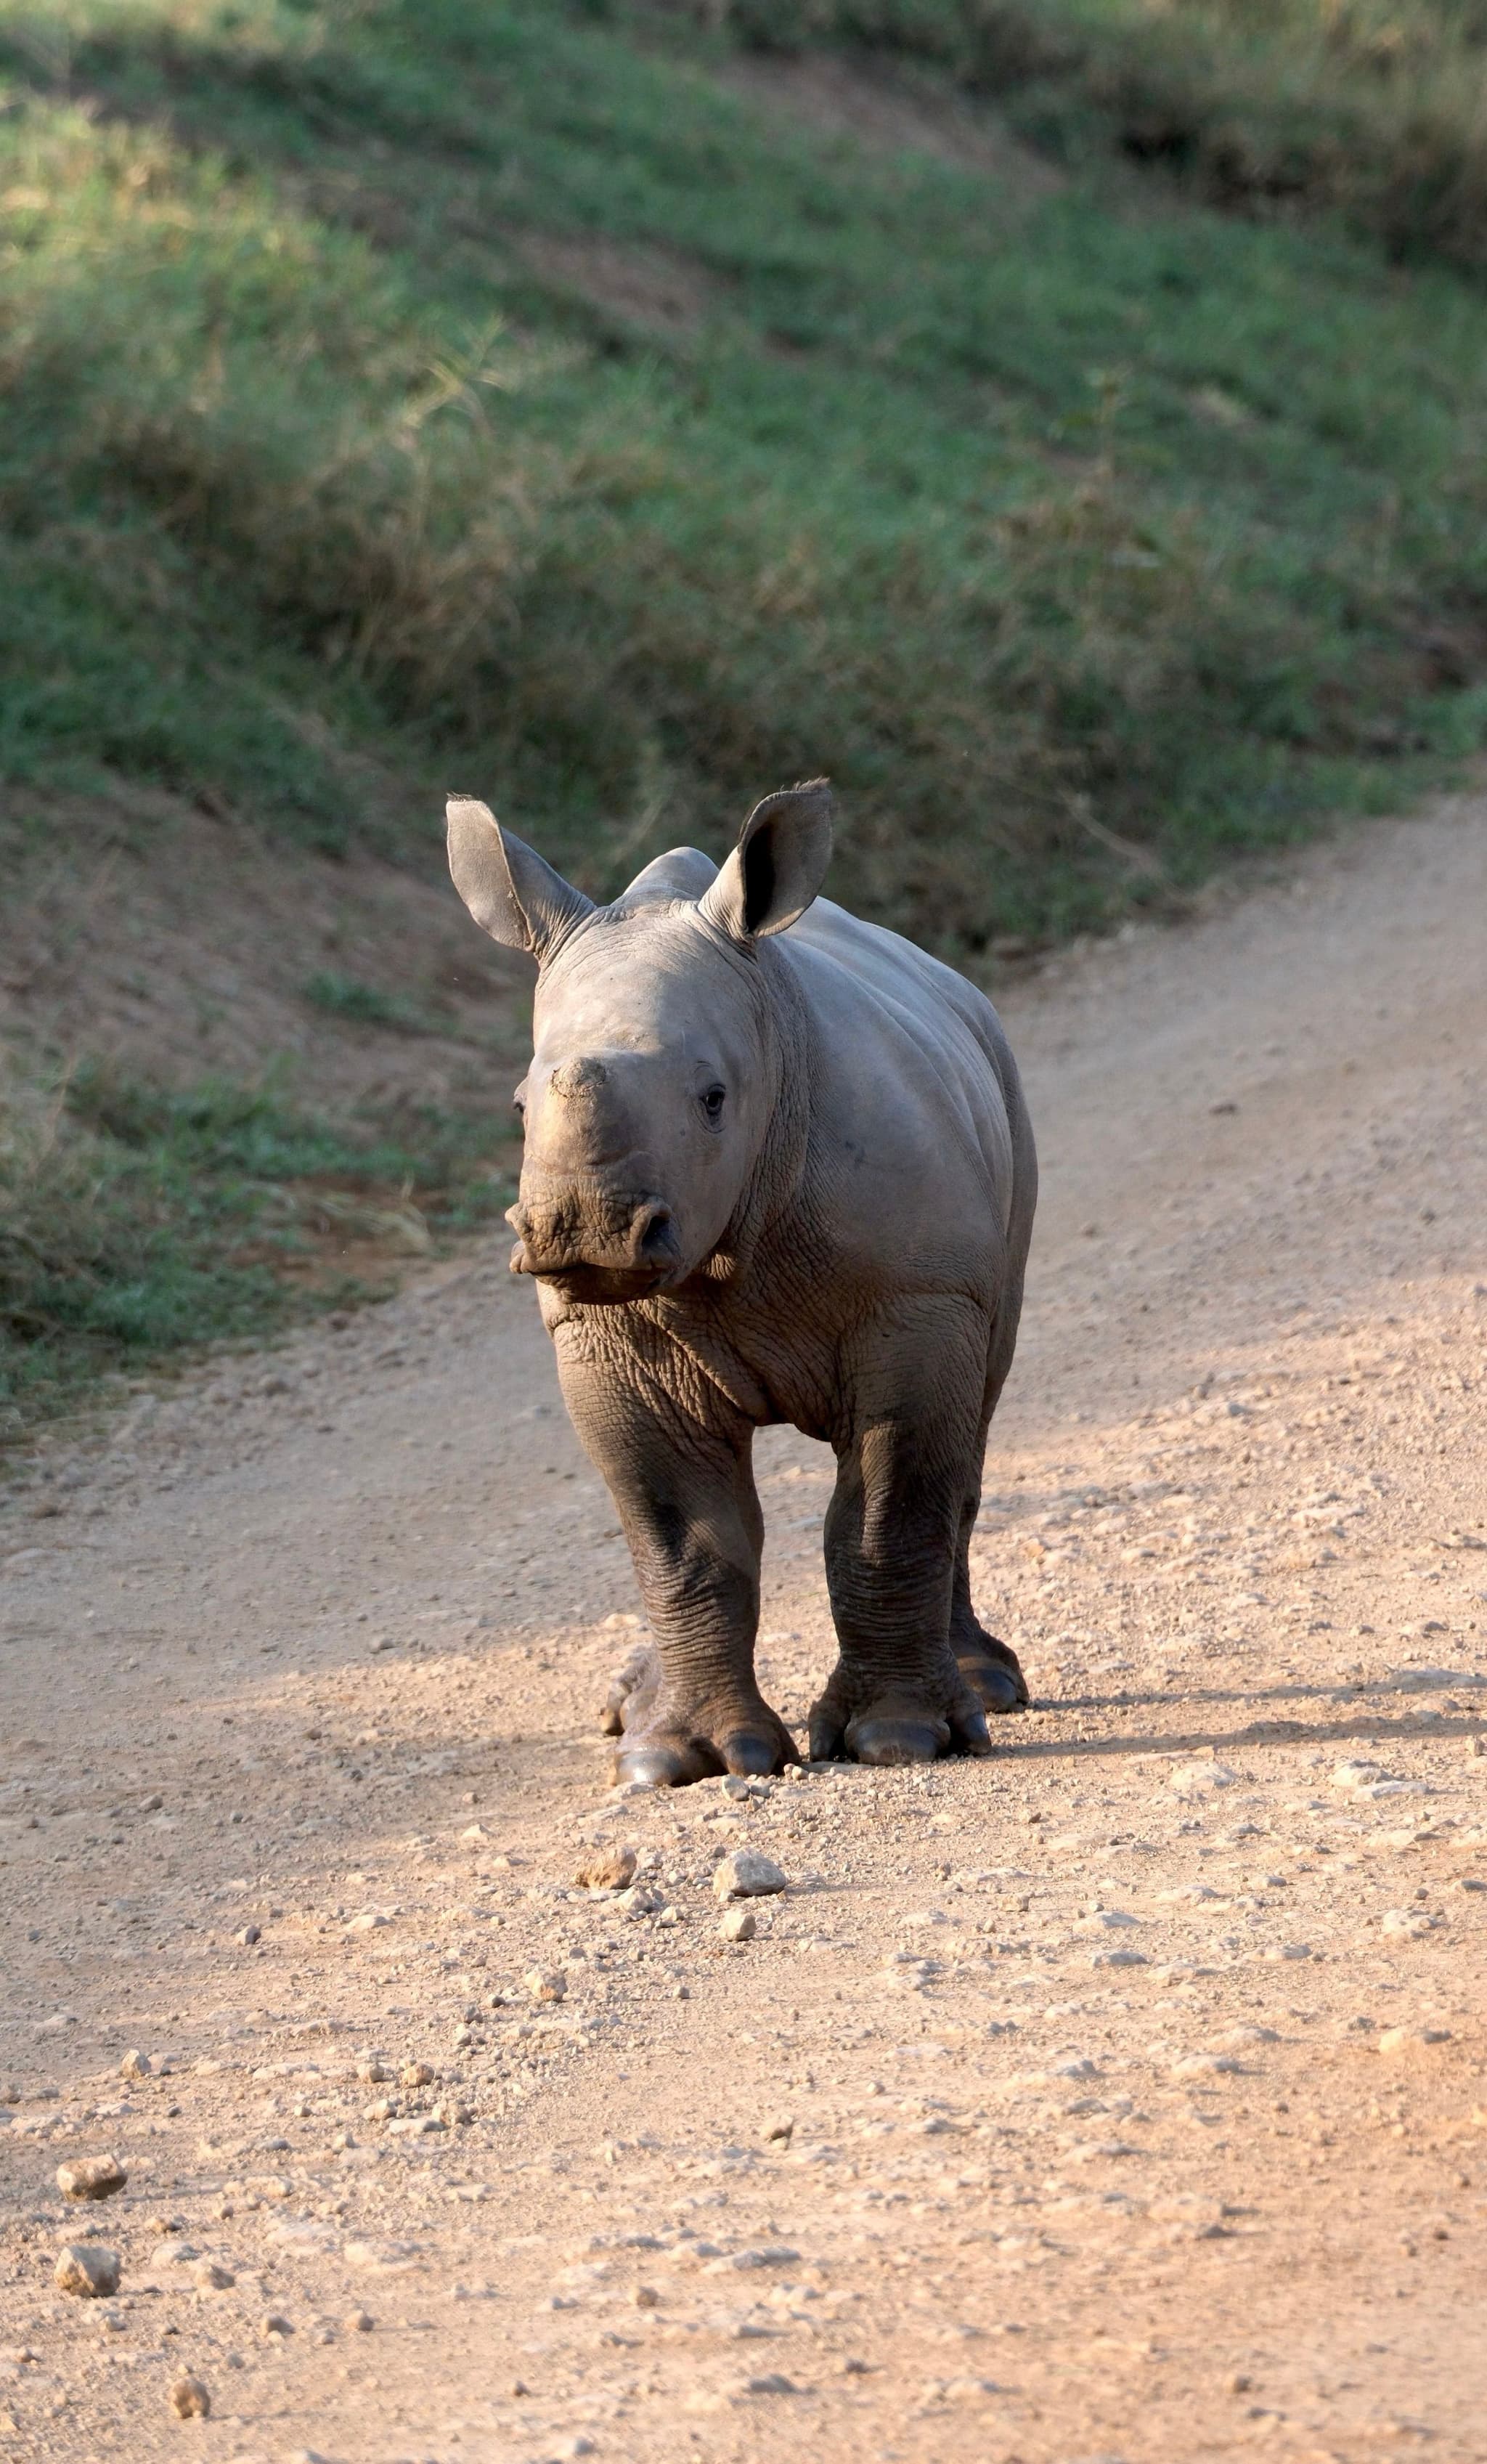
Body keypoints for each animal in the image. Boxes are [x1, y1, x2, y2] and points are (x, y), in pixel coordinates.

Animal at [447, 777, 1037, 1783]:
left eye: (714, 1099)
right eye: (520, 1108)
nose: (585, 1230)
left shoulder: (916, 1302)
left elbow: (889, 1508)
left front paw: (897, 1739)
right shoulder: (603, 1336)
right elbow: (681, 1537)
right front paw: (679, 1760)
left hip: (1003, 1109)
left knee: (972, 1432)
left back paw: (985, 1690)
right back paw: (628, 1710)